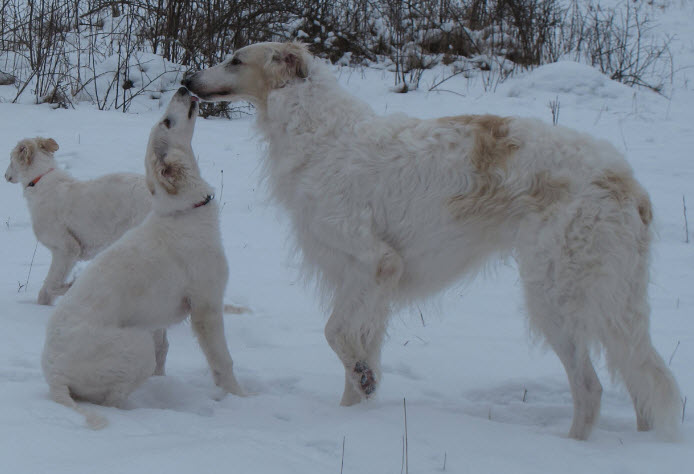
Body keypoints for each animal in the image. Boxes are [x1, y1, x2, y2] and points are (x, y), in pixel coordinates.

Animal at [5, 137, 151, 308]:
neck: (40, 180)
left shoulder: (67, 248)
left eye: (10, 158)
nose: (5, 176)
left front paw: (71, 286)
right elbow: (45, 292)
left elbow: (51, 285)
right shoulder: (68, 254)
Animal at [42, 89, 245, 430]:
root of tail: (53, 374)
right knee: (111, 400)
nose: (182, 87)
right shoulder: (206, 306)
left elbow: (165, 350)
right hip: (136, 346)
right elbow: (223, 360)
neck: (182, 212)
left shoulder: (159, 318)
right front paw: (241, 397)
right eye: (167, 122)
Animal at [181, 42, 684, 438]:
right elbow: (355, 353)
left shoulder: (374, 262)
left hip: (555, 294)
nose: (187, 79)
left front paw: (364, 382)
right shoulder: (365, 282)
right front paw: (353, 415)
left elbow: (337, 335)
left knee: (592, 388)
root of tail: (627, 182)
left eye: (234, 59)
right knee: (639, 380)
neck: (324, 136)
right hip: (611, 298)